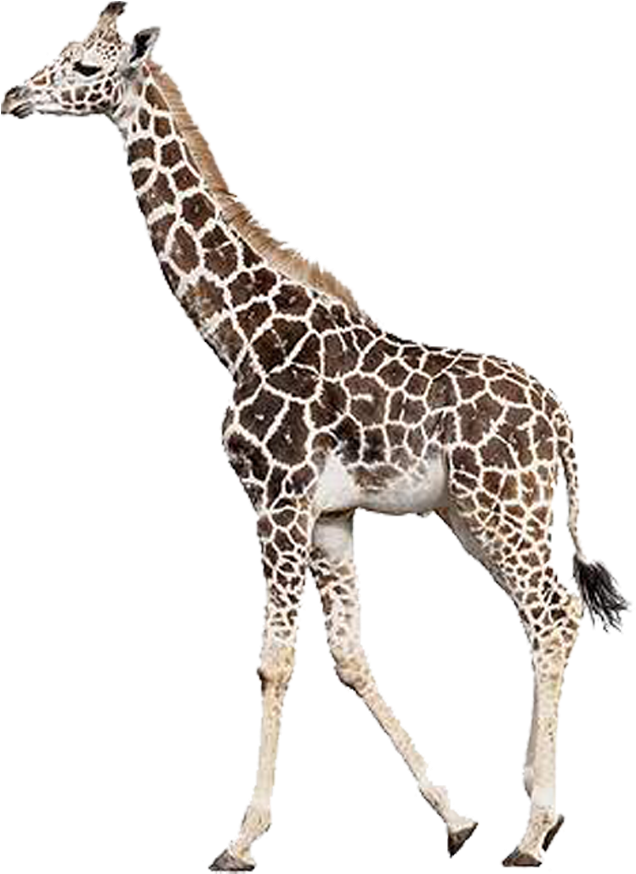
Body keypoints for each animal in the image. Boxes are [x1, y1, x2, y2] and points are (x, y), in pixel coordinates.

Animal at [3, 4, 632, 870]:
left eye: (87, 69)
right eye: (59, 53)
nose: (13, 97)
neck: (238, 334)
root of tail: (564, 423)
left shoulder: (275, 501)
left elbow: (273, 662)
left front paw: (238, 840)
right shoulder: (331, 516)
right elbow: (349, 658)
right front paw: (454, 817)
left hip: (500, 512)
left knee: (554, 617)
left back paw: (535, 832)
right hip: (481, 518)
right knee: (545, 618)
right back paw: (534, 812)